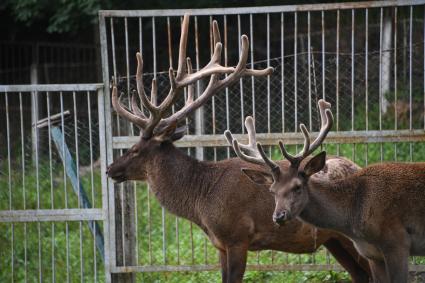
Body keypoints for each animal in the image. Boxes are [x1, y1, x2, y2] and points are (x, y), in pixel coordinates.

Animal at [107, 15, 370, 283]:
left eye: (135, 149)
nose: (109, 169)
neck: (201, 200)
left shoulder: (237, 237)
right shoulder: (221, 246)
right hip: (334, 239)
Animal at [230, 100, 425, 283]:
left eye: (297, 186)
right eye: (272, 191)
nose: (279, 216)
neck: (355, 216)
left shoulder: (397, 241)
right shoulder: (372, 254)